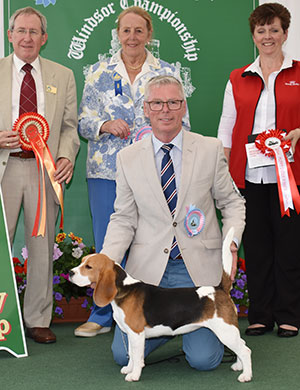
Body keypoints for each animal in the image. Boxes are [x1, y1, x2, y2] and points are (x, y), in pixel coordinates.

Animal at [69, 227, 252, 382]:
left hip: (225, 331)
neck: (123, 289)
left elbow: (137, 357)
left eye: (88, 267)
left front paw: (134, 375)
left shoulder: (136, 334)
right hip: (229, 331)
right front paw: (129, 368)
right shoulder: (130, 335)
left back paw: (246, 375)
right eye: (82, 261)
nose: (70, 272)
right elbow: (131, 354)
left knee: (245, 350)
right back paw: (238, 366)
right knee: (242, 345)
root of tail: (220, 288)